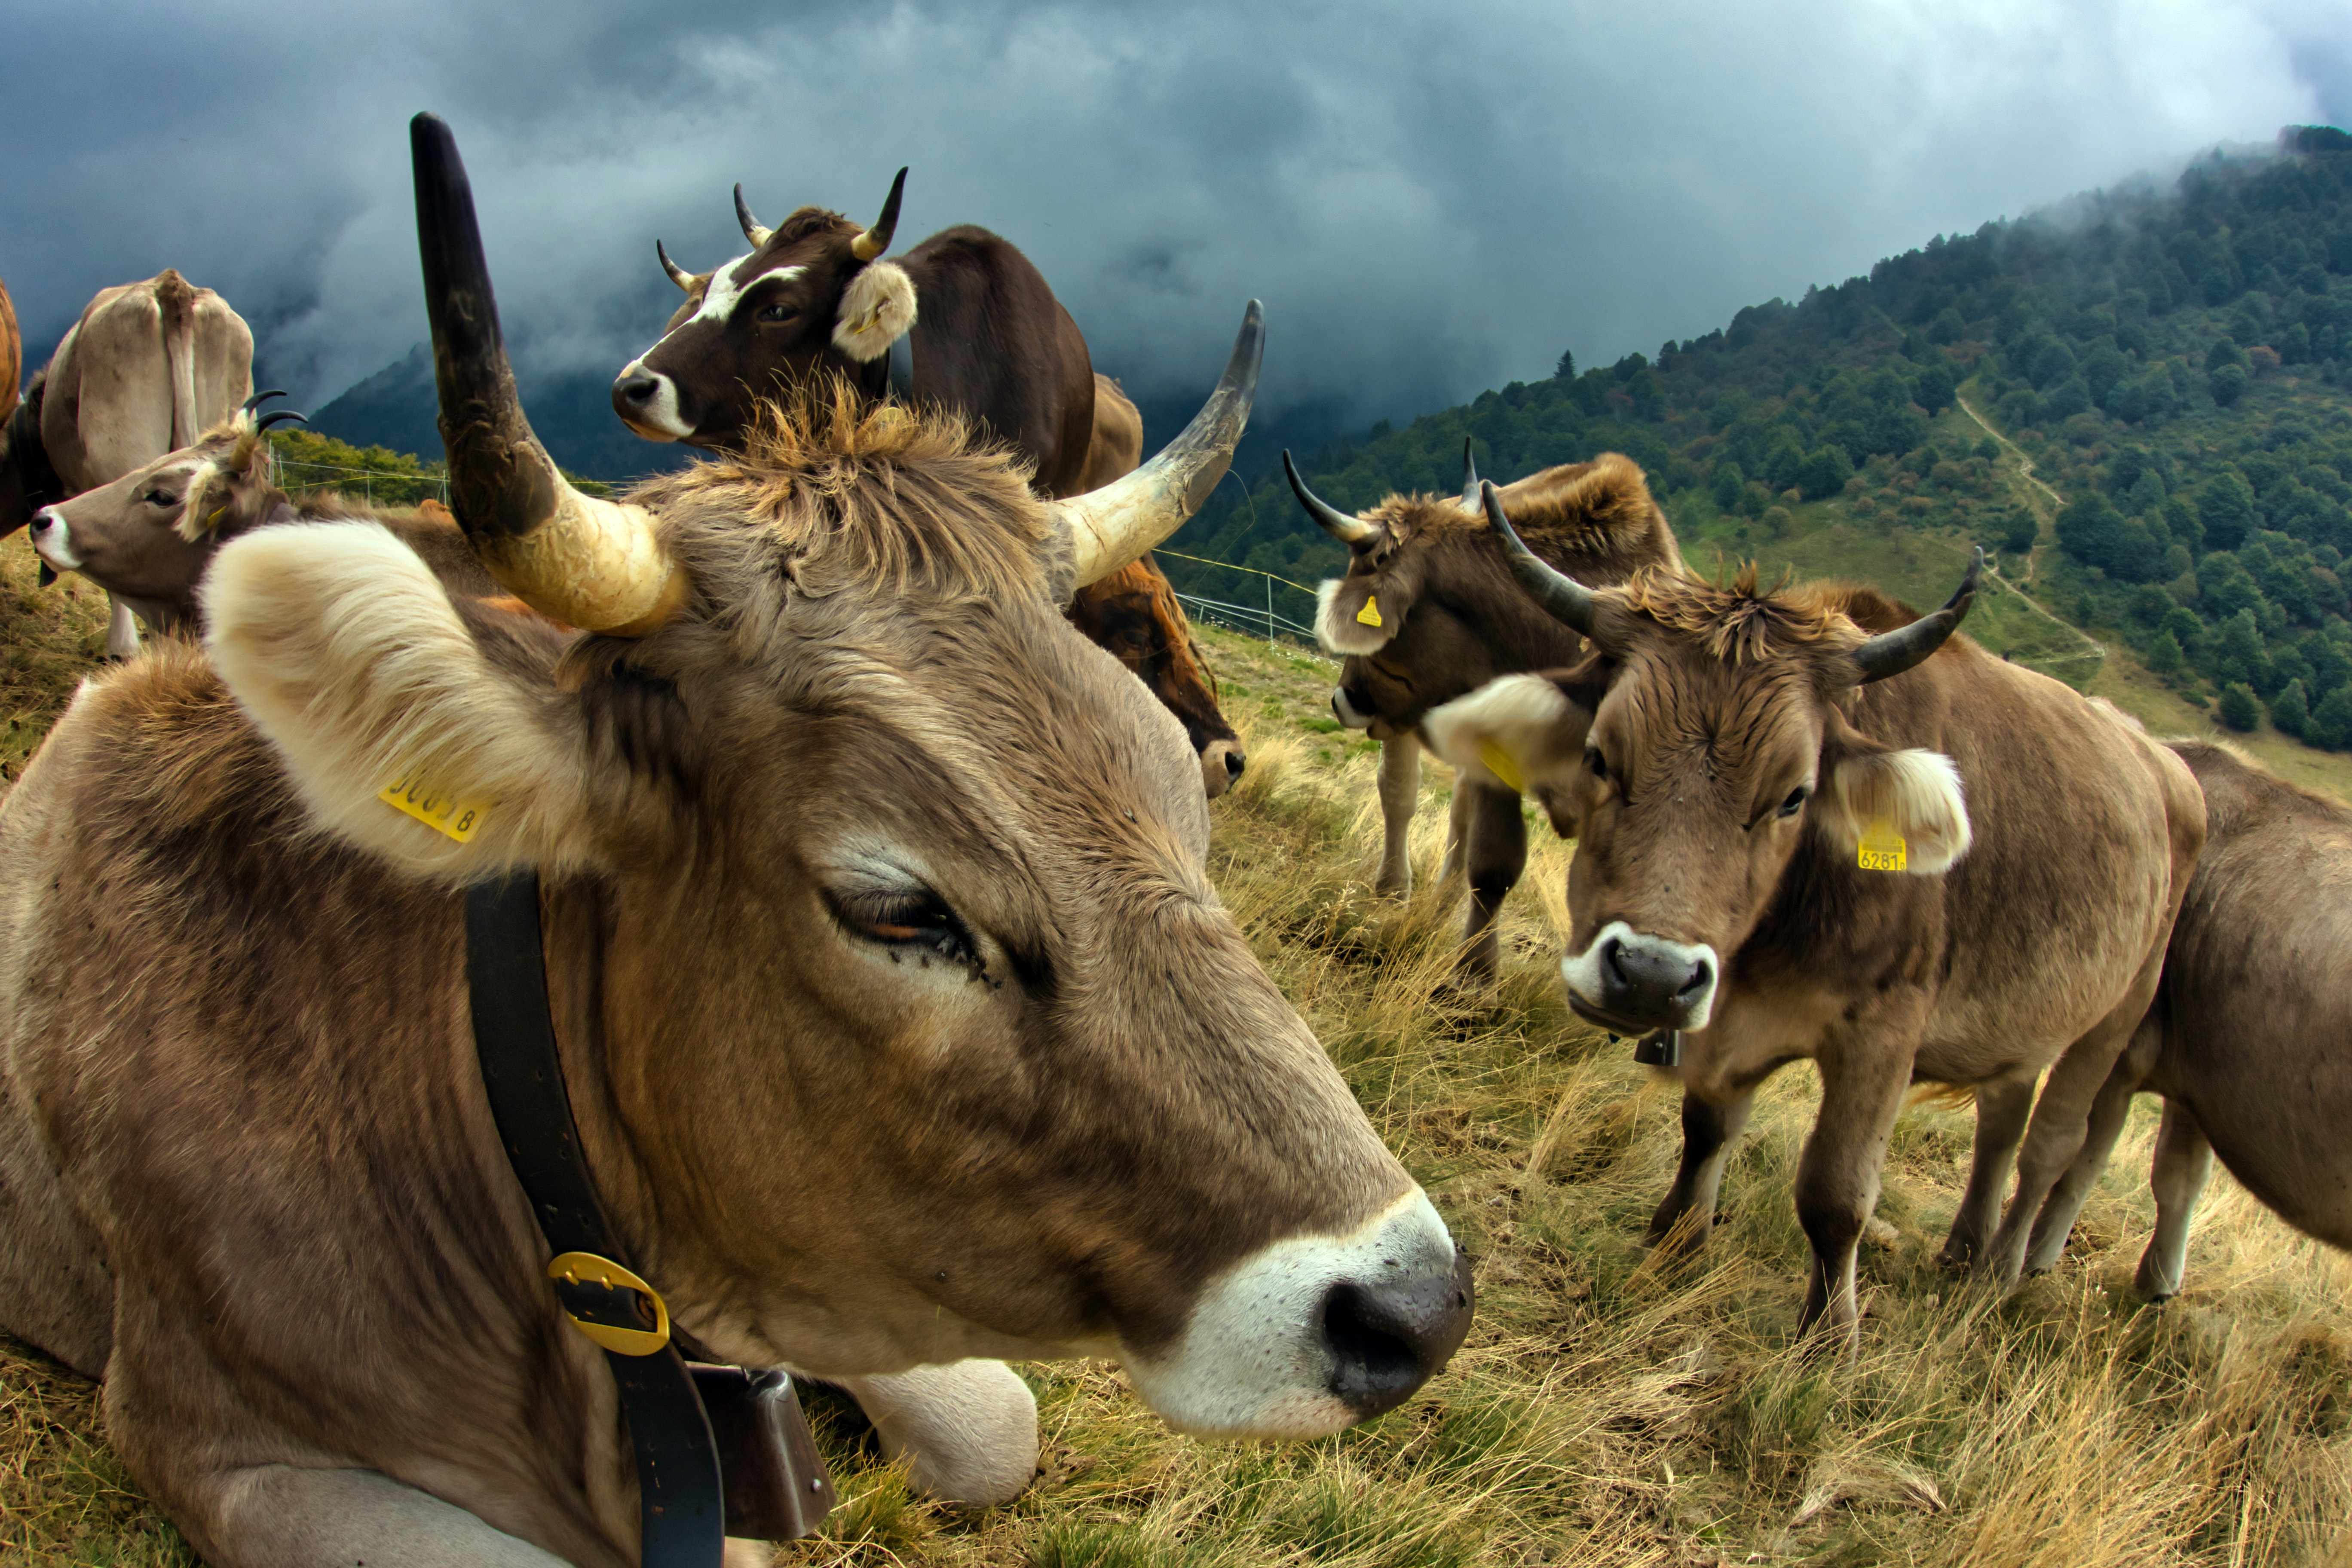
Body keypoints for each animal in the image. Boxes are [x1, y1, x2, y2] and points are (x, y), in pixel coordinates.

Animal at [1285, 446, 1683, 979]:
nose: (1343, 698)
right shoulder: (1497, 760)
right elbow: (1496, 860)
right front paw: (1475, 974)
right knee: (1400, 794)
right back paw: (1394, 892)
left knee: (1456, 816)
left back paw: (1441, 905)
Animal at [1420, 496, 2204, 1343]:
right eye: (1599, 755)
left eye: (1795, 794)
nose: (1652, 976)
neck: (1773, 940)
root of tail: (2168, 766)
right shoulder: (1726, 1018)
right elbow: (1706, 1127)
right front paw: (1676, 1237)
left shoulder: (1883, 1035)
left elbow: (1836, 1192)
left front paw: (1831, 1334)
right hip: (2024, 1020)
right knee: (2000, 1123)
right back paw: (1965, 1251)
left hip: (2113, 1016)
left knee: (2050, 1147)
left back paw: (2000, 1272)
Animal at [2020, 741, 2352, 1301]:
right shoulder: (2201, 1081)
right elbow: (2181, 1178)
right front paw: (2158, 1284)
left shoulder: (2129, 1049)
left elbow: (2085, 1159)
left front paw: (2036, 1259)